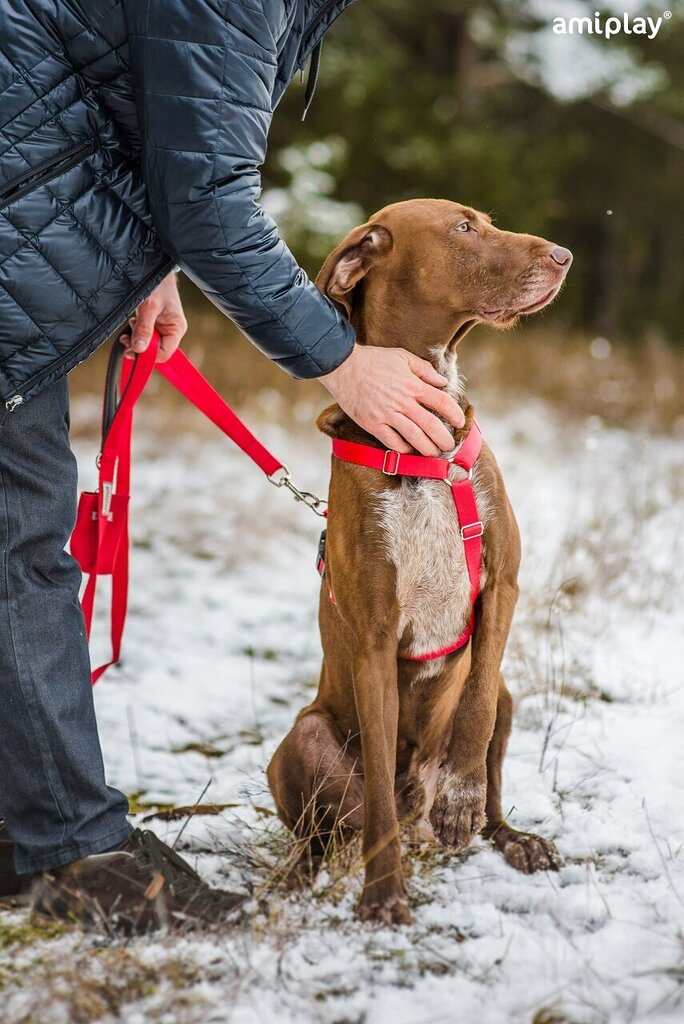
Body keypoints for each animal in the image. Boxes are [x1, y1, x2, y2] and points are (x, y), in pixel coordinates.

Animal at [266, 195, 573, 925]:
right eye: (462, 229)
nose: (564, 256)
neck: (424, 446)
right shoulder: (375, 641)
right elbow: (378, 779)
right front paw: (383, 896)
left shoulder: (503, 586)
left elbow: (477, 706)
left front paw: (460, 798)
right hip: (302, 738)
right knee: (333, 828)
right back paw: (300, 874)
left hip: (511, 700)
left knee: (489, 785)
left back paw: (507, 835)